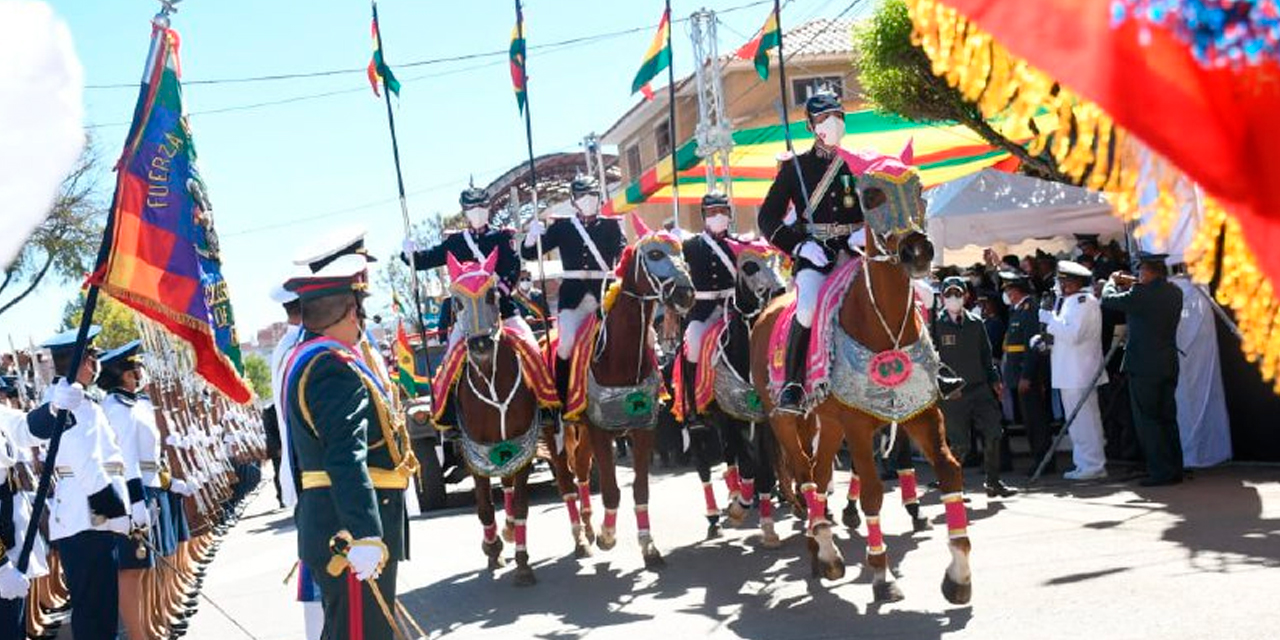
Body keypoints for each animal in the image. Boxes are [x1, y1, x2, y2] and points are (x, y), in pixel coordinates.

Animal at [440, 248, 570, 586]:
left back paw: (511, 530)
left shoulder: (522, 443)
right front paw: (492, 549)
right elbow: (485, 507)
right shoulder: (474, 450)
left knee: (511, 486)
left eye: (492, 295)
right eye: (457, 301)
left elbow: (522, 504)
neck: (491, 380)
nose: (480, 344)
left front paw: (523, 563)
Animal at [565, 216, 696, 570]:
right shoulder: (601, 431)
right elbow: (612, 490)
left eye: (682, 252)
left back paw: (586, 526)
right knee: (567, 479)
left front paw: (648, 546)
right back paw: (582, 539)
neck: (618, 356)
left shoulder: (643, 429)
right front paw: (607, 536)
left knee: (580, 469)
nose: (686, 294)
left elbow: (640, 489)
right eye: (654, 254)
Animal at [686, 238, 783, 547]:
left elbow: (763, 470)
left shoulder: (761, 420)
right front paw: (740, 506)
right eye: (750, 266)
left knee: (731, 457)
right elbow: (749, 464)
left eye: (779, 258)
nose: (780, 290)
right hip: (697, 426)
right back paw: (714, 516)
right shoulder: (730, 416)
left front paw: (767, 526)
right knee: (705, 465)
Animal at [747, 144, 972, 604]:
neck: (881, 319)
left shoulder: (921, 413)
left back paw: (820, 548)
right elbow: (870, 492)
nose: (918, 251)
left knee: (818, 474)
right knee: (806, 477)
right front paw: (882, 574)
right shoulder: (858, 424)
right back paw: (824, 548)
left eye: (919, 188)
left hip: (827, 424)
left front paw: (959, 574)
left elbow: (949, 471)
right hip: (786, 421)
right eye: (871, 196)